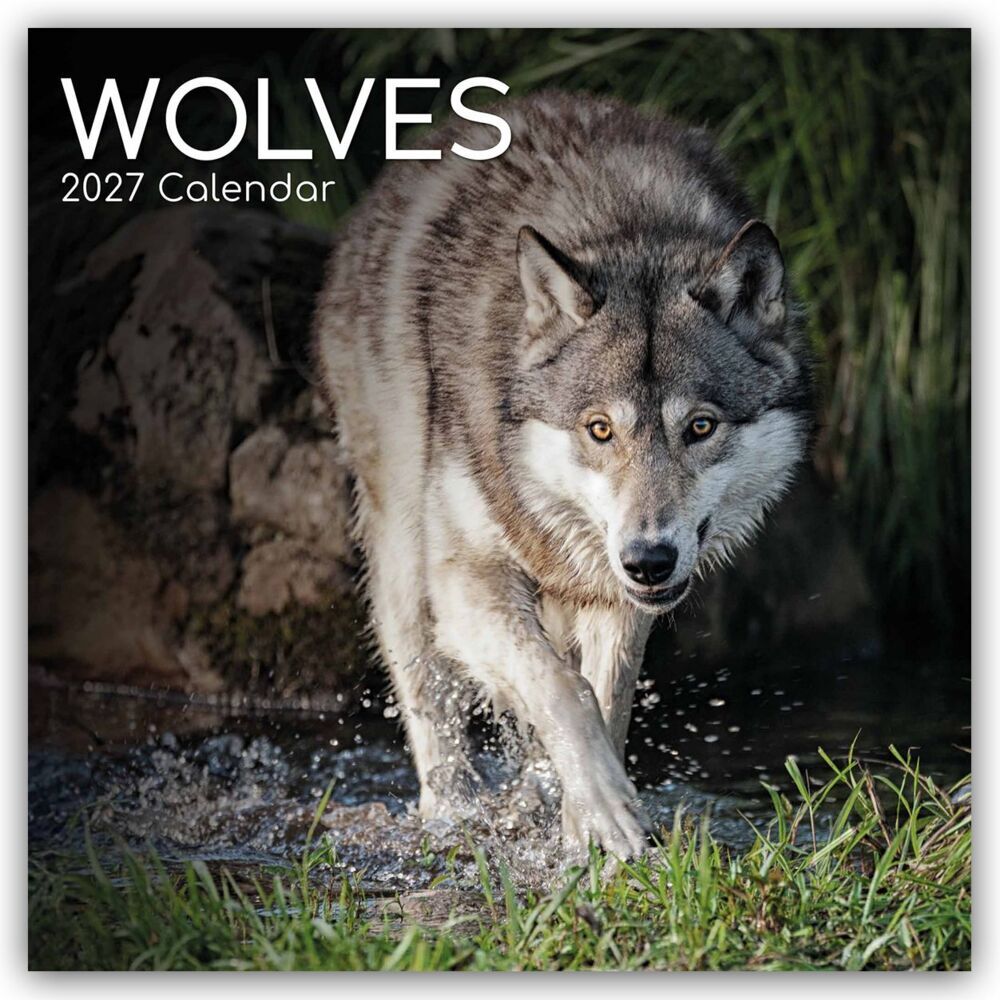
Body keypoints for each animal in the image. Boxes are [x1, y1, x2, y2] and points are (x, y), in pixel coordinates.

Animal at [313, 93, 813, 857]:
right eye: (599, 429)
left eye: (700, 427)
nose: (648, 560)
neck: (626, 225)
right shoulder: (464, 577)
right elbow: (562, 689)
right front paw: (601, 805)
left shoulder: (617, 600)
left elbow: (603, 699)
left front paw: (582, 832)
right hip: (403, 557)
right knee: (428, 692)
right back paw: (451, 815)